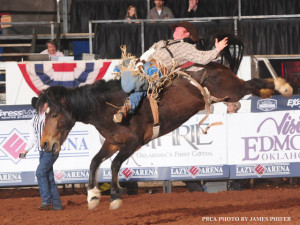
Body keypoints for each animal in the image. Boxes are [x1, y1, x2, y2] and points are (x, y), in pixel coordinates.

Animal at [36, 62, 292, 210]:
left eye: (55, 114)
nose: (46, 144)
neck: (108, 107)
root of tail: (214, 64)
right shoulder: (113, 142)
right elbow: (94, 162)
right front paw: (92, 196)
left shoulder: (134, 142)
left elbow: (116, 165)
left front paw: (115, 197)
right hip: (230, 94)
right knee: (253, 85)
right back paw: (270, 91)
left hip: (233, 90)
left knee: (252, 83)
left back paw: (283, 87)